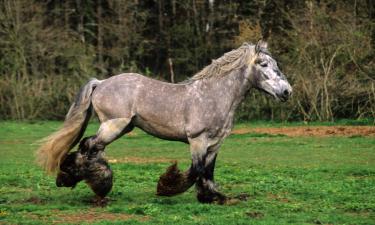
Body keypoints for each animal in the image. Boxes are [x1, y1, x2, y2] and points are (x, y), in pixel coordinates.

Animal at [36, 40, 292, 204]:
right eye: (263, 65)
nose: (287, 92)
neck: (213, 95)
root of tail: (101, 82)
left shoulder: (215, 143)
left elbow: (208, 172)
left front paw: (212, 197)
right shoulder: (197, 140)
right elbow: (196, 170)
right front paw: (167, 187)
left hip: (122, 126)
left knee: (91, 147)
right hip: (114, 125)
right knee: (90, 146)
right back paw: (90, 181)